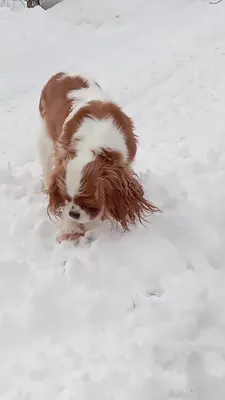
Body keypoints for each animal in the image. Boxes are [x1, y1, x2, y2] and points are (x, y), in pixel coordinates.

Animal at [38, 71, 158, 241]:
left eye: (89, 203)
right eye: (66, 198)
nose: (73, 213)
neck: (93, 143)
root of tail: (60, 73)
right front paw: (70, 229)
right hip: (45, 143)